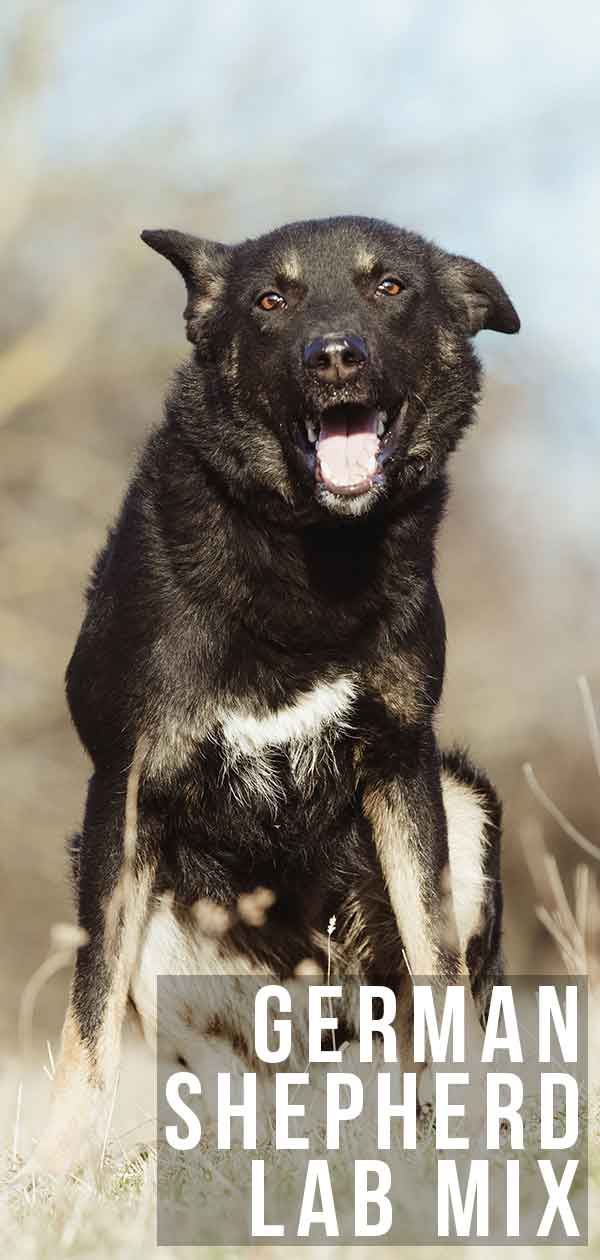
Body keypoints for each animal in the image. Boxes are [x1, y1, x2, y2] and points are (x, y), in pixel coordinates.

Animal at [31, 214, 516, 1169]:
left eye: (390, 286)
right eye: (270, 300)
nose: (334, 357)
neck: (308, 550)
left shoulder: (402, 762)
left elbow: (439, 966)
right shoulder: (126, 791)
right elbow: (89, 1006)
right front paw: (57, 1165)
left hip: (463, 804)